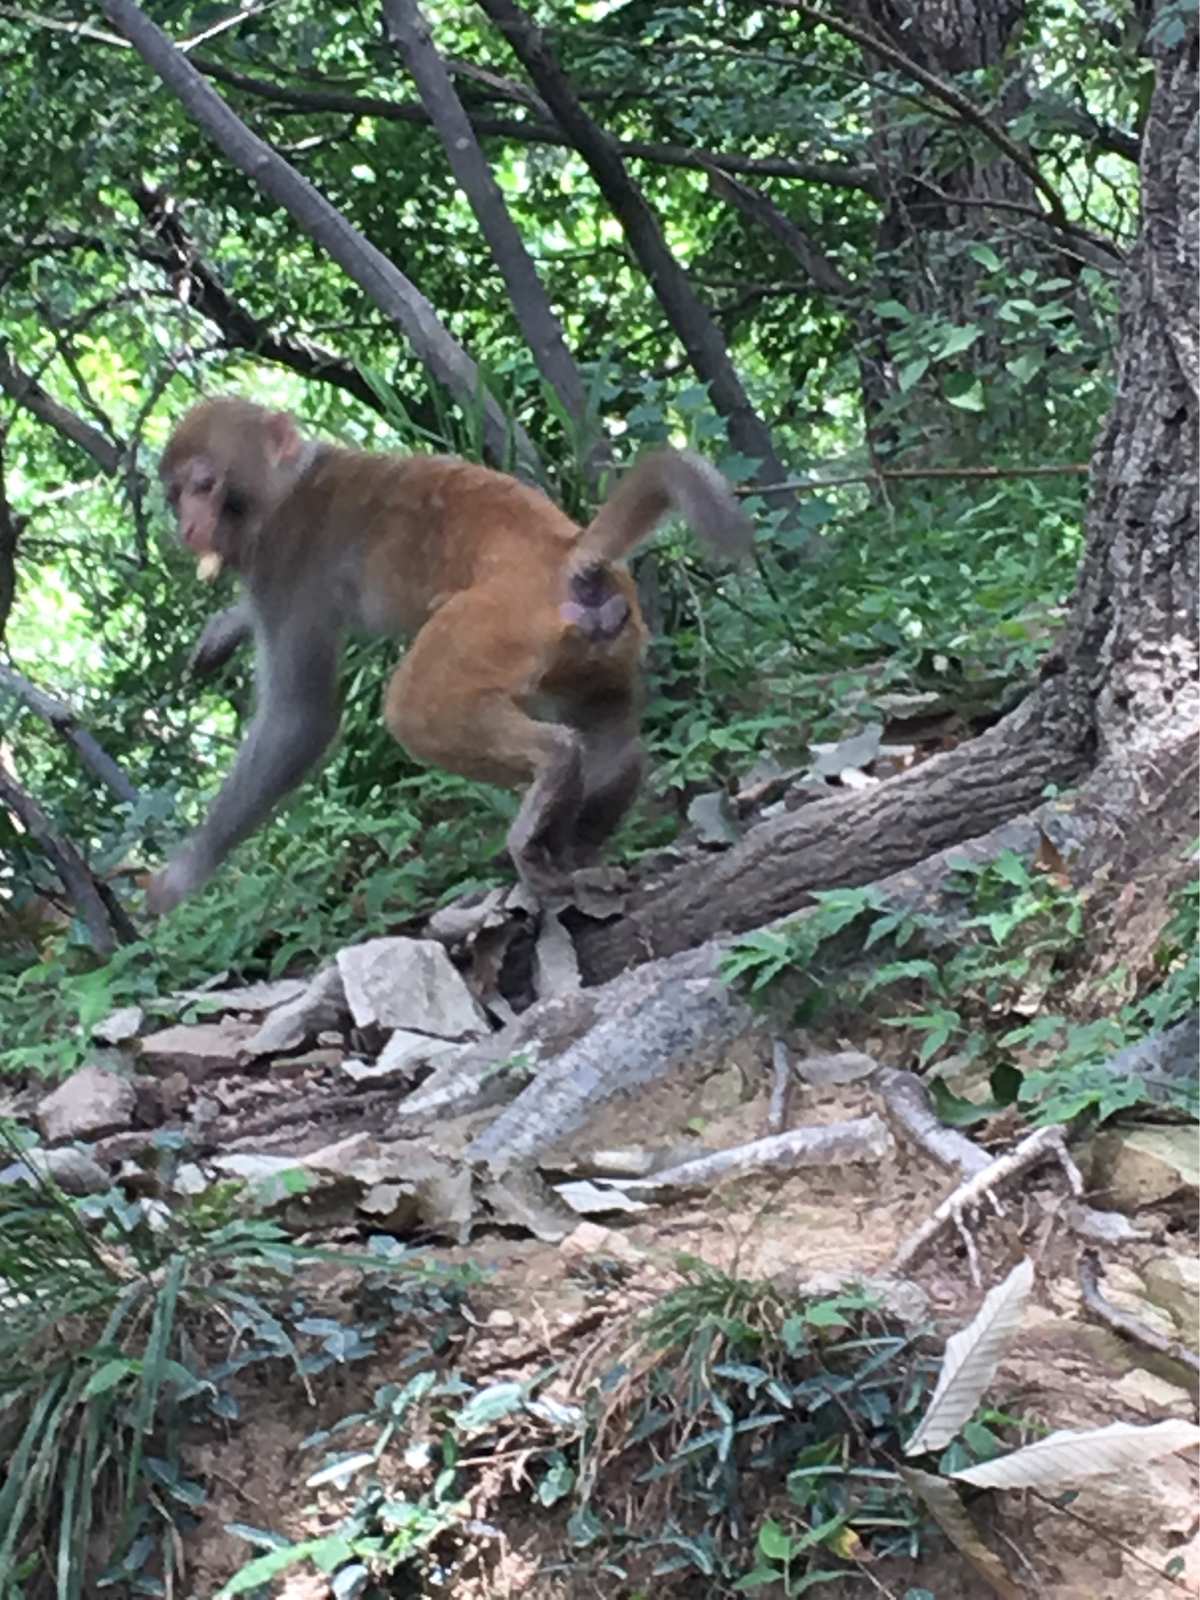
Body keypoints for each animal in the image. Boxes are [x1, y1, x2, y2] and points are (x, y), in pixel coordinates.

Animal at [148, 396, 752, 915]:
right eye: (176, 496)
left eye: (205, 484)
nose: (187, 525)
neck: (288, 485)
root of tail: (568, 549)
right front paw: (225, 628)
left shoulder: (283, 565)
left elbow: (299, 720)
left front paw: (178, 880)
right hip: (601, 646)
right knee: (614, 742)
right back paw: (575, 844)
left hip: (491, 624)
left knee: (414, 710)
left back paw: (553, 771)